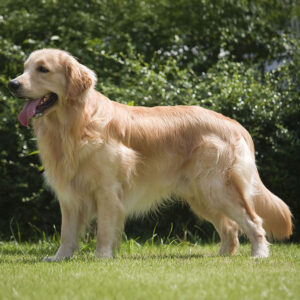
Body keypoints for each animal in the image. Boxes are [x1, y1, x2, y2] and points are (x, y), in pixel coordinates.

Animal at [8, 49, 290, 260]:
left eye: (43, 69)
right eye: (25, 67)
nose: (12, 84)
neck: (75, 125)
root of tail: (235, 124)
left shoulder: (107, 190)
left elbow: (104, 229)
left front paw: (101, 257)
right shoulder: (69, 195)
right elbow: (67, 233)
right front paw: (60, 258)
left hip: (218, 188)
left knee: (254, 221)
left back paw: (259, 254)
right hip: (201, 195)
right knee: (230, 227)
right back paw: (221, 255)